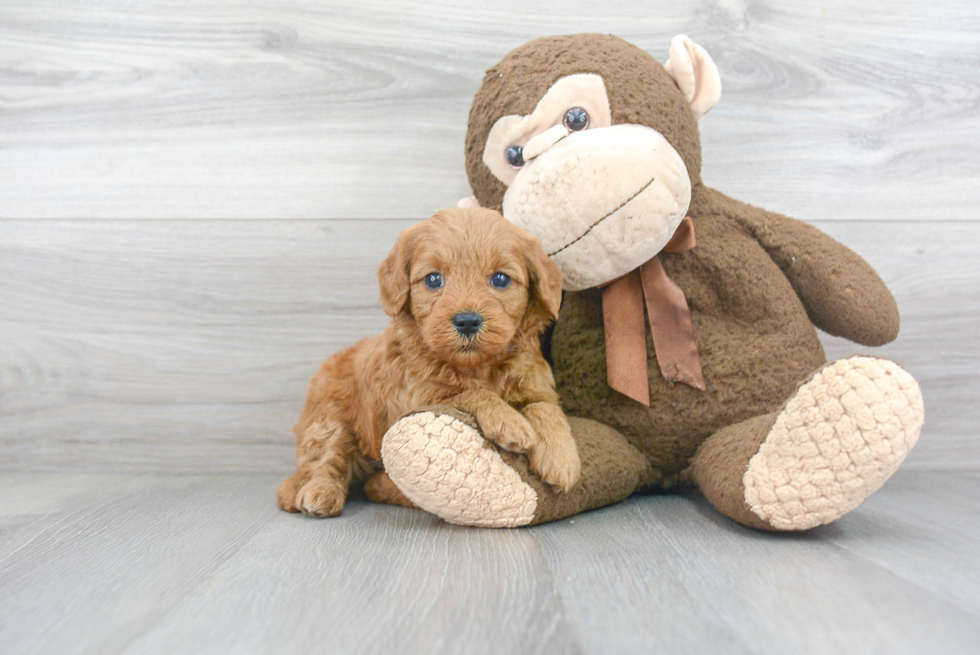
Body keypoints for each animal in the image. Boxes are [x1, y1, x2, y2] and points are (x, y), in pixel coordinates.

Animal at [276, 209, 580, 516]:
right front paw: (509, 421)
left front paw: (561, 459)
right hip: (329, 417)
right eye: (433, 279)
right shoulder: (418, 397)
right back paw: (320, 493)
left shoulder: (536, 383)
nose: (467, 321)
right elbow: (470, 393)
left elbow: (546, 408)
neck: (478, 366)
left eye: (501, 279)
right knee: (327, 460)